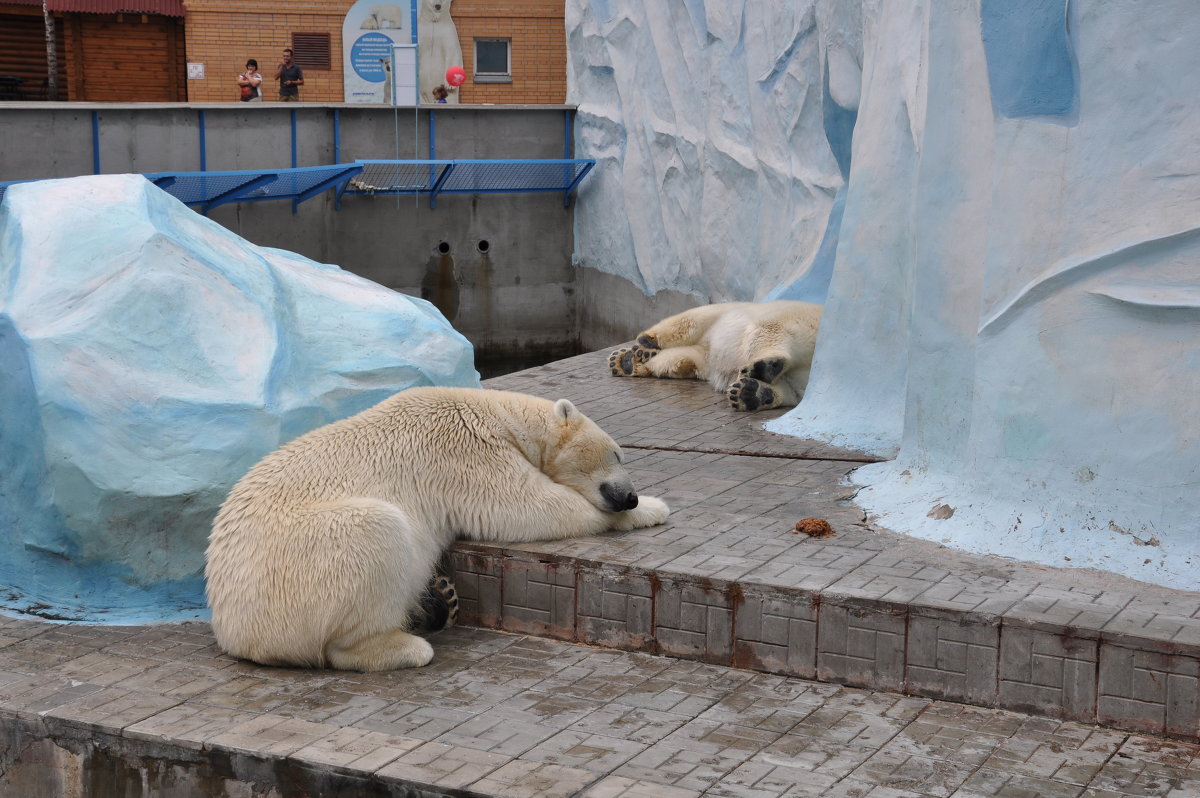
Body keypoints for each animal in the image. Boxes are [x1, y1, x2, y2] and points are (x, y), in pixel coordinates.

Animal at [204, 384, 667, 667]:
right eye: (618, 453)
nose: (629, 496)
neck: (498, 415)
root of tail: (234, 630)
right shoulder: (469, 452)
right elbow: (526, 505)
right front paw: (654, 509)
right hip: (304, 562)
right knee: (377, 536)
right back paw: (407, 645)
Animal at [609, 298, 825, 410]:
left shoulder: (720, 315)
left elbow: (686, 323)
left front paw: (643, 347)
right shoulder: (704, 353)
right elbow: (677, 360)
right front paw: (625, 360)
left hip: (799, 320)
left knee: (770, 331)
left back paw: (763, 369)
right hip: (803, 373)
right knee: (792, 391)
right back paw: (752, 393)